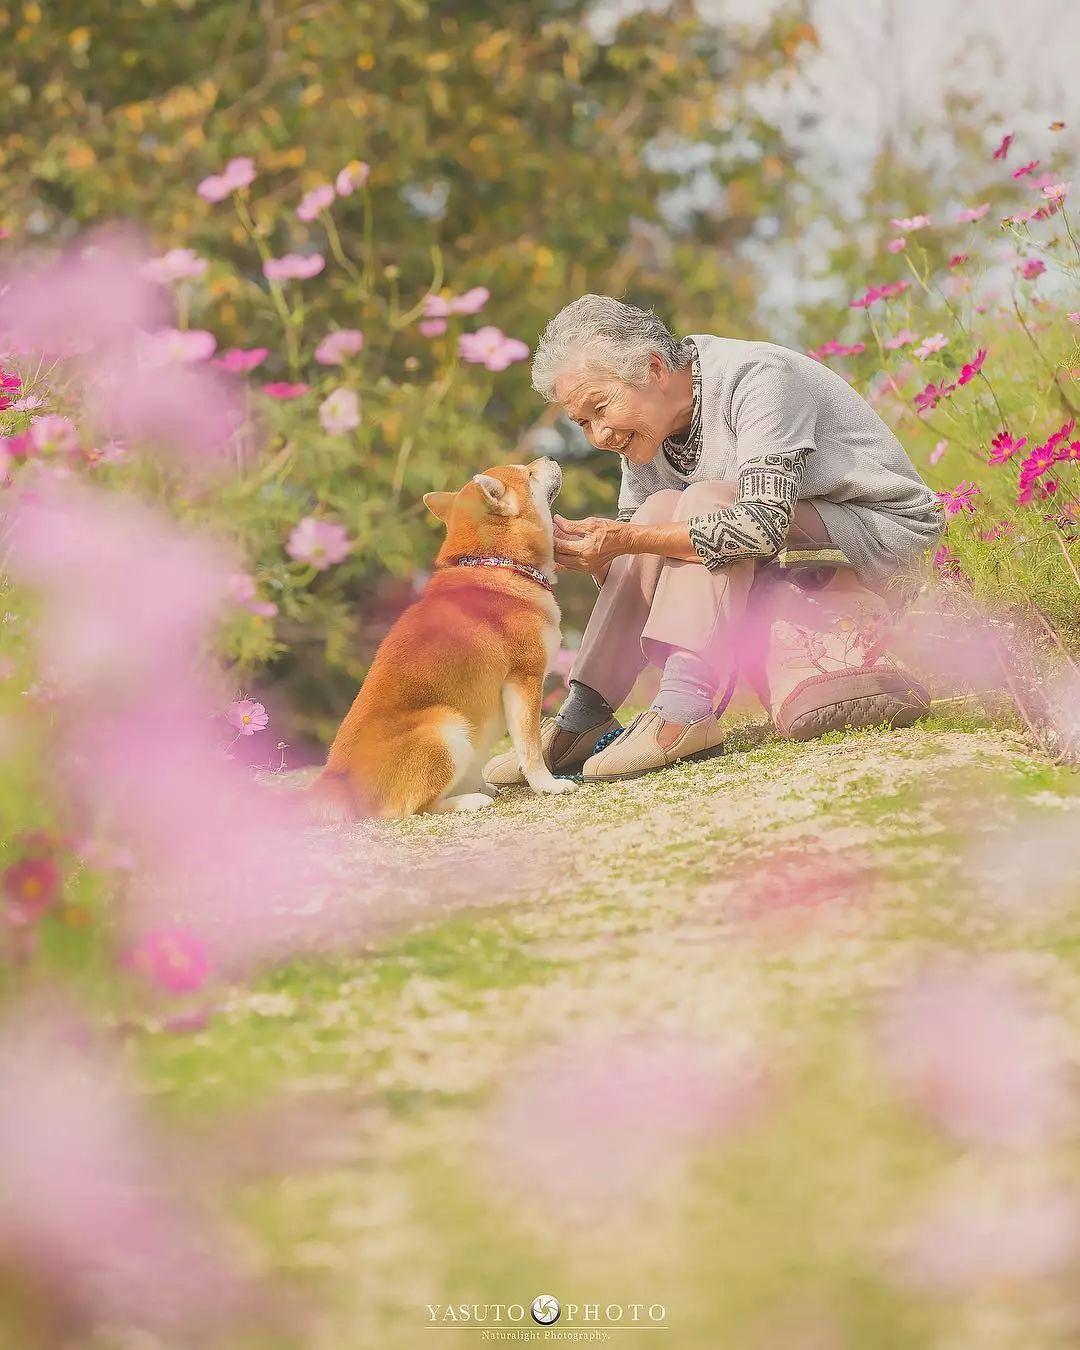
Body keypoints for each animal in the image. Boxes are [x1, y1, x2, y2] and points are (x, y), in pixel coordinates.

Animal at [307, 459, 577, 815]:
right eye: (528, 473)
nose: (548, 459)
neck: (498, 565)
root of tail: (337, 776)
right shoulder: (525, 678)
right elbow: (530, 747)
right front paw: (547, 785)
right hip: (446, 727)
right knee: (413, 808)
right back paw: (468, 800)